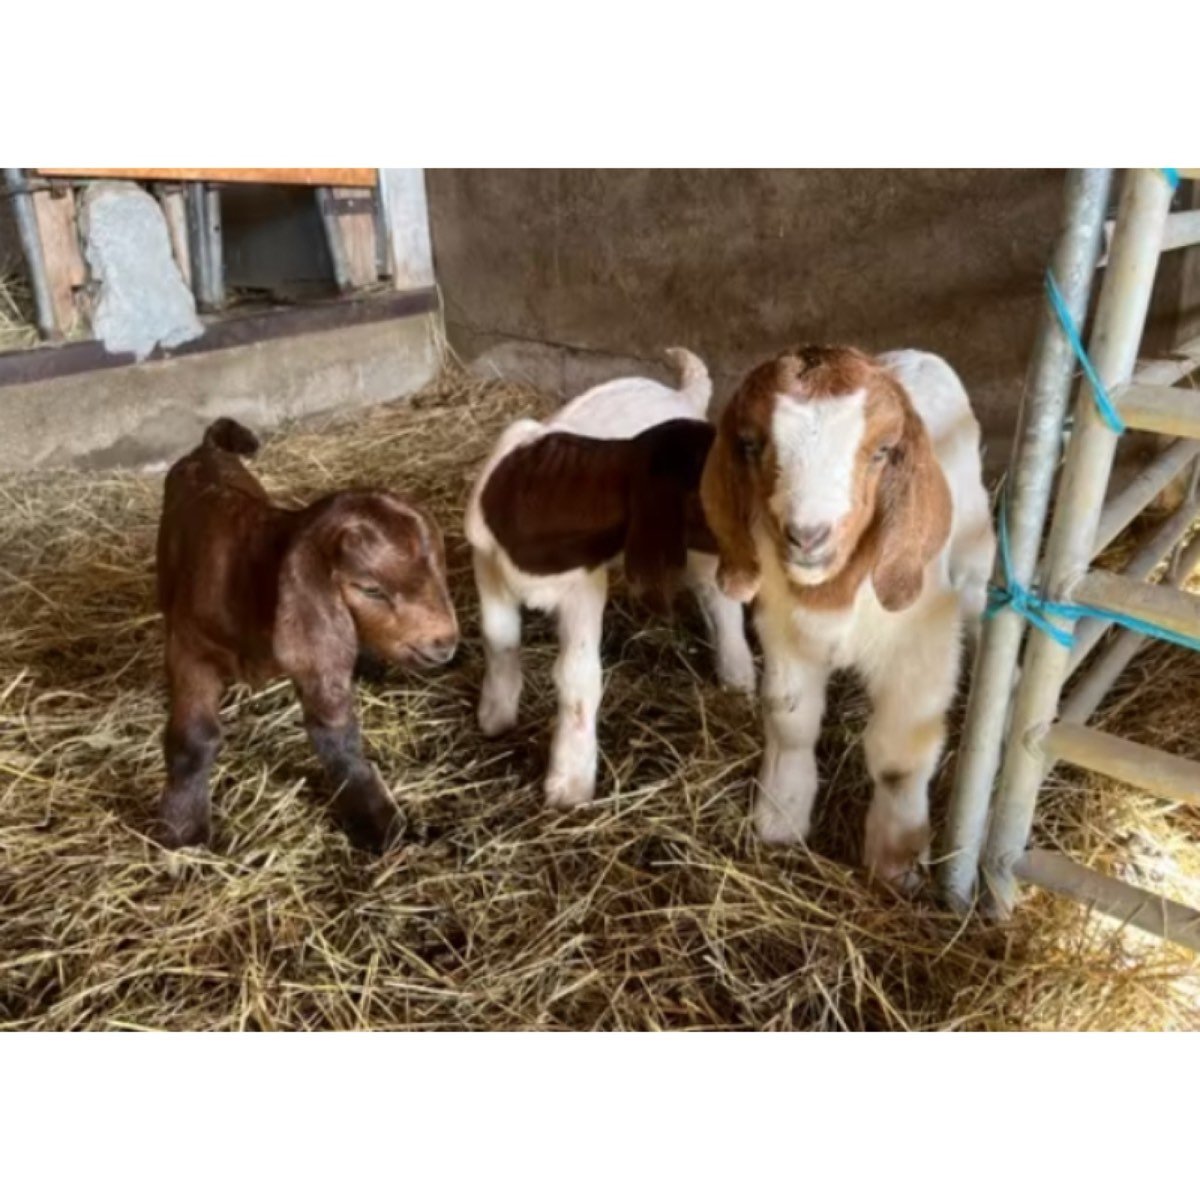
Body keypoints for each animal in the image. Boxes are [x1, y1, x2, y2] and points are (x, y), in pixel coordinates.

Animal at [155, 418, 458, 852]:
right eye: (370, 589)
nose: (444, 645)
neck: (249, 577)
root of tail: (207, 448)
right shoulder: (190, 647)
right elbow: (194, 739)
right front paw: (182, 829)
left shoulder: (313, 655)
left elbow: (334, 731)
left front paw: (375, 820)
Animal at [465, 350, 755, 810]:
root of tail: (681, 394)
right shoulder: (487, 561)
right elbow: (498, 636)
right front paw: (496, 714)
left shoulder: (583, 586)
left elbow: (576, 673)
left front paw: (569, 782)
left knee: (717, 600)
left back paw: (737, 675)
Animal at [701, 346, 994, 888]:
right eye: (750, 443)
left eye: (883, 451)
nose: (808, 535)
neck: (832, 594)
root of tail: (916, 354)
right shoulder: (785, 635)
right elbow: (790, 722)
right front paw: (781, 814)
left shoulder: (921, 648)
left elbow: (900, 756)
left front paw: (897, 857)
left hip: (973, 540)